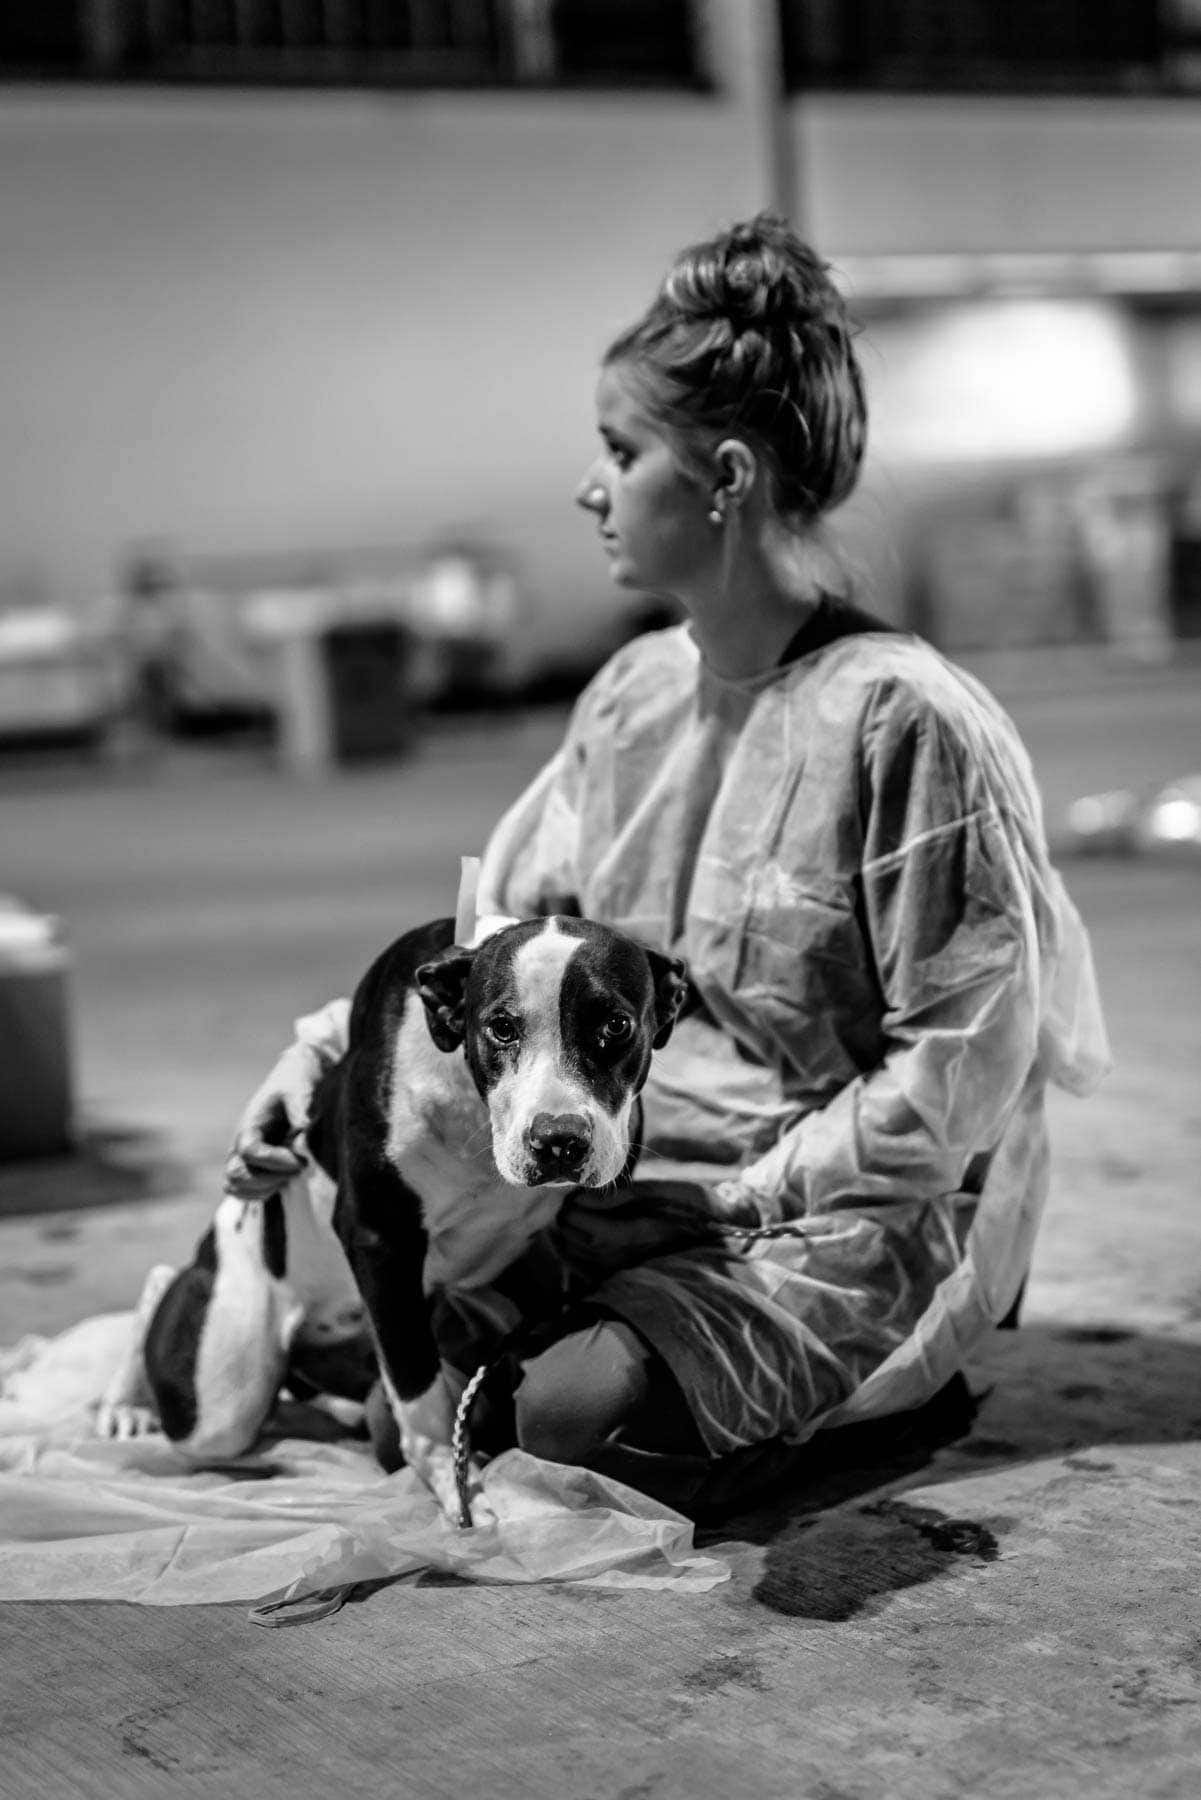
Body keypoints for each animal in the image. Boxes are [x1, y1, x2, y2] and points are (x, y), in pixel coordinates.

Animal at [96, 914, 684, 1519]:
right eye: (501, 1028)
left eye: (616, 1025)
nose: (558, 1140)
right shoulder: (380, 1243)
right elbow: (420, 1394)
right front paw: (457, 1485)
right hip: (221, 1388)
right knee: (185, 1337)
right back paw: (128, 1401)